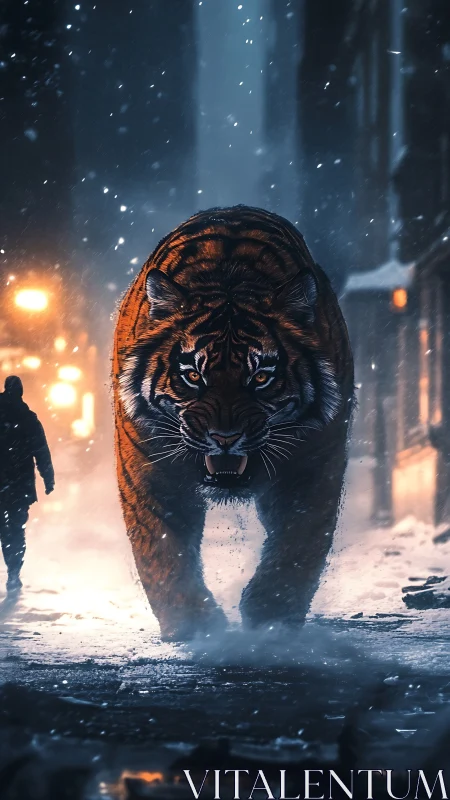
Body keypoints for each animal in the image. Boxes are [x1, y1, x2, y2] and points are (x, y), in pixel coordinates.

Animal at [113, 205, 354, 641]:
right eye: (193, 375)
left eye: (260, 378)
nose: (224, 438)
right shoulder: (151, 467)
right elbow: (162, 549)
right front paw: (192, 625)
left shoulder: (315, 461)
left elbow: (298, 545)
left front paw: (271, 619)